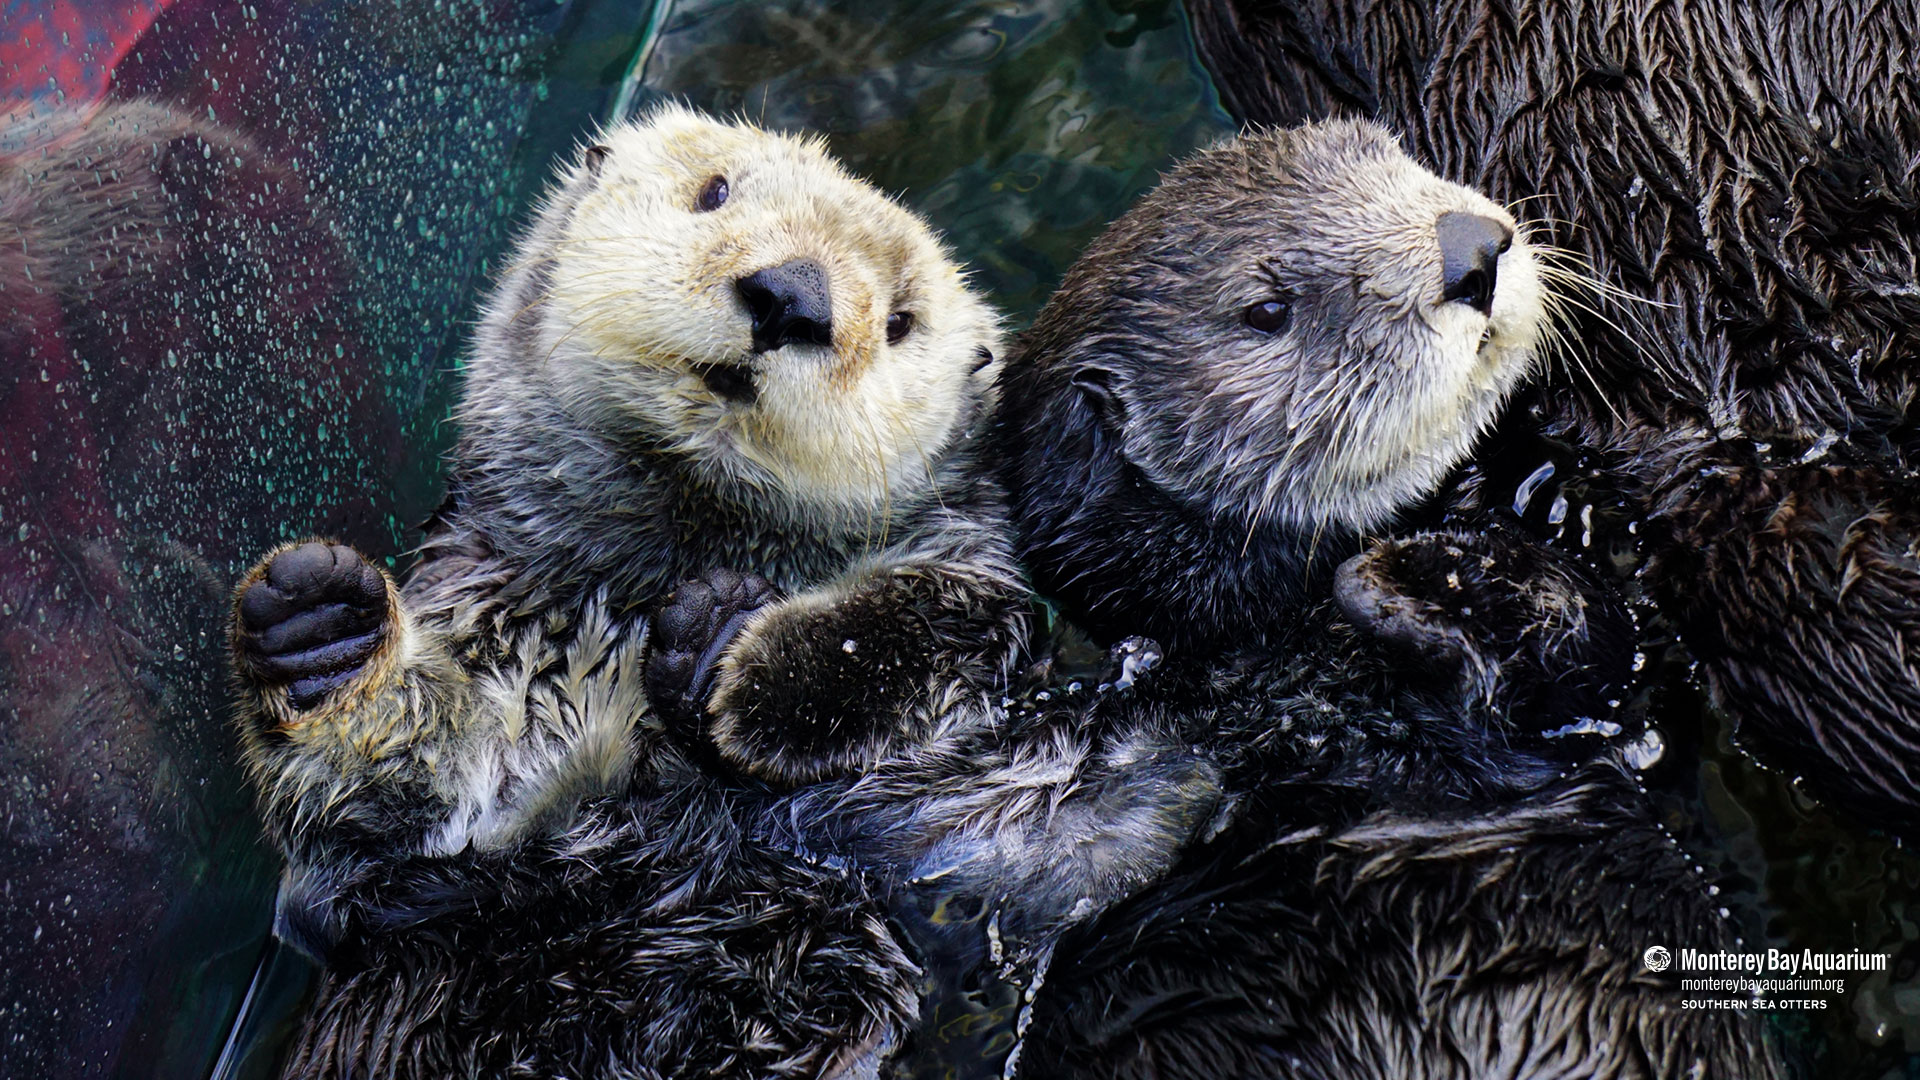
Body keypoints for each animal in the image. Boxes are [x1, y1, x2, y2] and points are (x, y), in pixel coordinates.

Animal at [228, 107, 1215, 1079]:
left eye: (901, 321)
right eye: (714, 192)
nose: (793, 297)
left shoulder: (975, 602)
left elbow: (941, 619)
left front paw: (726, 652)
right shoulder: (493, 623)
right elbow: (376, 831)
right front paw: (325, 632)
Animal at [992, 121, 1787, 1077]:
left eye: (1394, 158)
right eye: (1267, 311)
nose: (1471, 250)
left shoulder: (1634, 672)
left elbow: (1600, 647)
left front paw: (1429, 562)